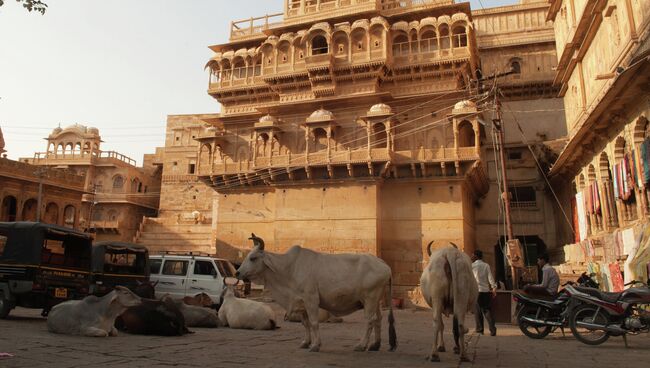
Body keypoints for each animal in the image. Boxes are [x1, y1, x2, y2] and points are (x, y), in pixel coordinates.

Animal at [233, 234, 394, 352]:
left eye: (253, 258)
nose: (237, 273)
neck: (289, 269)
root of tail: (384, 264)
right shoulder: (301, 302)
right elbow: (306, 323)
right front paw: (306, 342)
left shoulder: (311, 299)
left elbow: (314, 323)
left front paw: (316, 345)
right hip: (376, 300)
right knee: (378, 319)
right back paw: (375, 345)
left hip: (370, 298)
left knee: (370, 320)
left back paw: (362, 345)